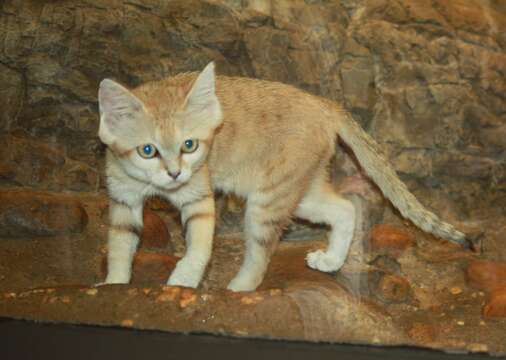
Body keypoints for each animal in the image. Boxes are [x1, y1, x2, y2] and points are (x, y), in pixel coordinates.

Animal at [97, 62, 472, 292]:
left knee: (260, 257)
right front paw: (114, 285)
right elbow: (119, 246)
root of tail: (324, 104)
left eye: (190, 145)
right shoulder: (122, 199)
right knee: (345, 208)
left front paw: (182, 283)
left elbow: (198, 247)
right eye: (148, 150)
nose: (175, 173)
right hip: (299, 191)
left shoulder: (198, 198)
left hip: (268, 199)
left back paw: (237, 291)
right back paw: (331, 261)